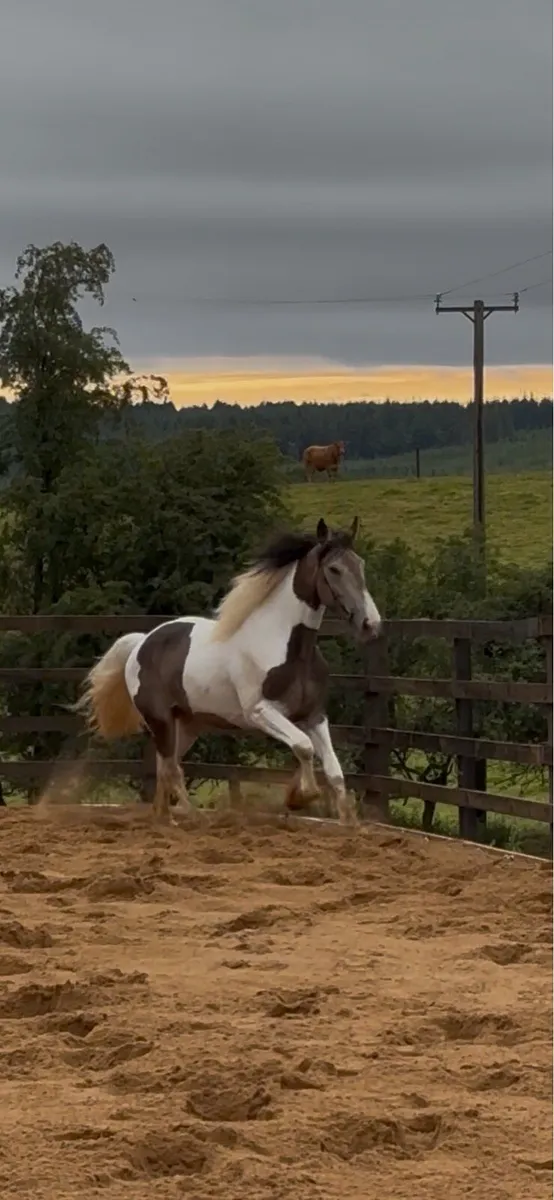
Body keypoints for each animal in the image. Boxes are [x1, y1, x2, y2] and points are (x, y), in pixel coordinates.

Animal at [75, 517, 381, 826]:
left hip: (187, 723)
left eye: (360, 564)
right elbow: (303, 746)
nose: (371, 624)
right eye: (334, 569)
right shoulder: (260, 711)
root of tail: (142, 642)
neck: (284, 645)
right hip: (160, 719)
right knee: (172, 768)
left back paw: (166, 820)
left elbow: (334, 771)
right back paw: (192, 817)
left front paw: (350, 824)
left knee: (166, 766)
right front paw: (299, 797)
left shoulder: (315, 715)